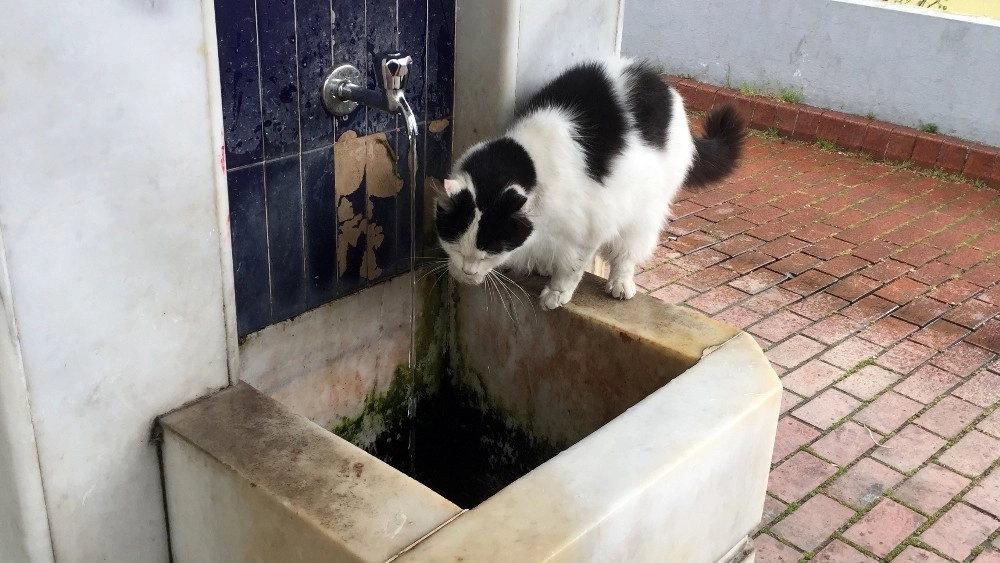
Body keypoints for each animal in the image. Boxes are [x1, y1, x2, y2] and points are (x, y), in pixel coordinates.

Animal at [436, 58, 744, 308]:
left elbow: (573, 266)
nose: (467, 273)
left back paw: (621, 284)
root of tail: (658, 80)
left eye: (489, 254)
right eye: (455, 247)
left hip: (644, 211)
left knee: (627, 252)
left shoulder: (591, 226)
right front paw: (542, 266)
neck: (529, 158)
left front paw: (557, 292)